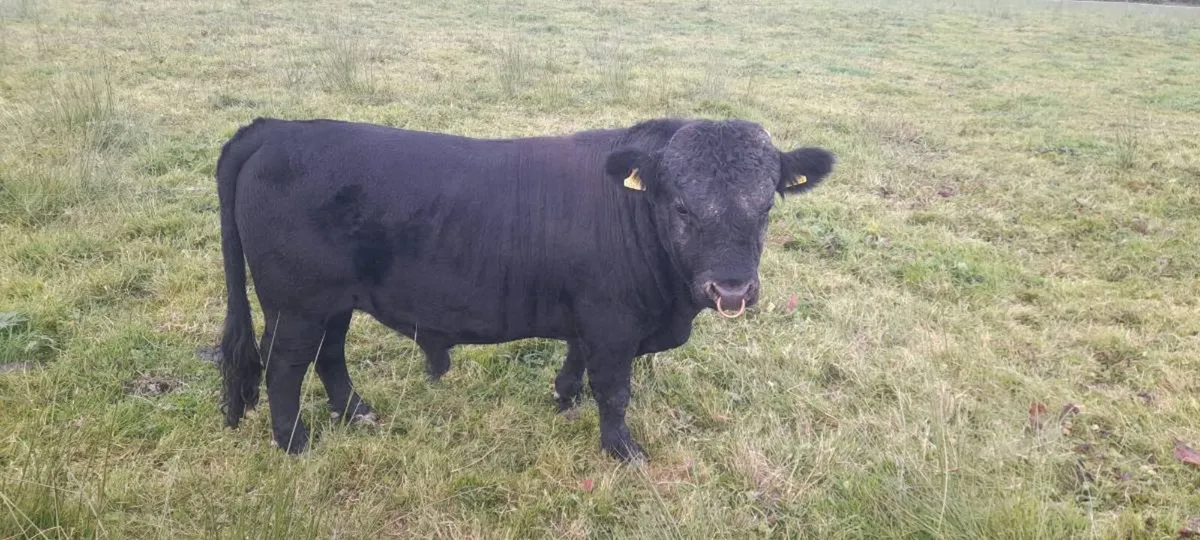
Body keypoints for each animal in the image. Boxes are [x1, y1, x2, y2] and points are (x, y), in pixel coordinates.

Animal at [216, 117, 835, 461]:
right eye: (682, 207)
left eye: (766, 206)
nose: (732, 290)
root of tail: (276, 129)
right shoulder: (613, 323)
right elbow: (615, 391)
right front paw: (623, 450)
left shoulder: (587, 315)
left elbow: (576, 358)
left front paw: (564, 396)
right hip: (296, 304)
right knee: (284, 365)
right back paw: (294, 442)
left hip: (333, 302)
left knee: (330, 355)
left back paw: (355, 412)